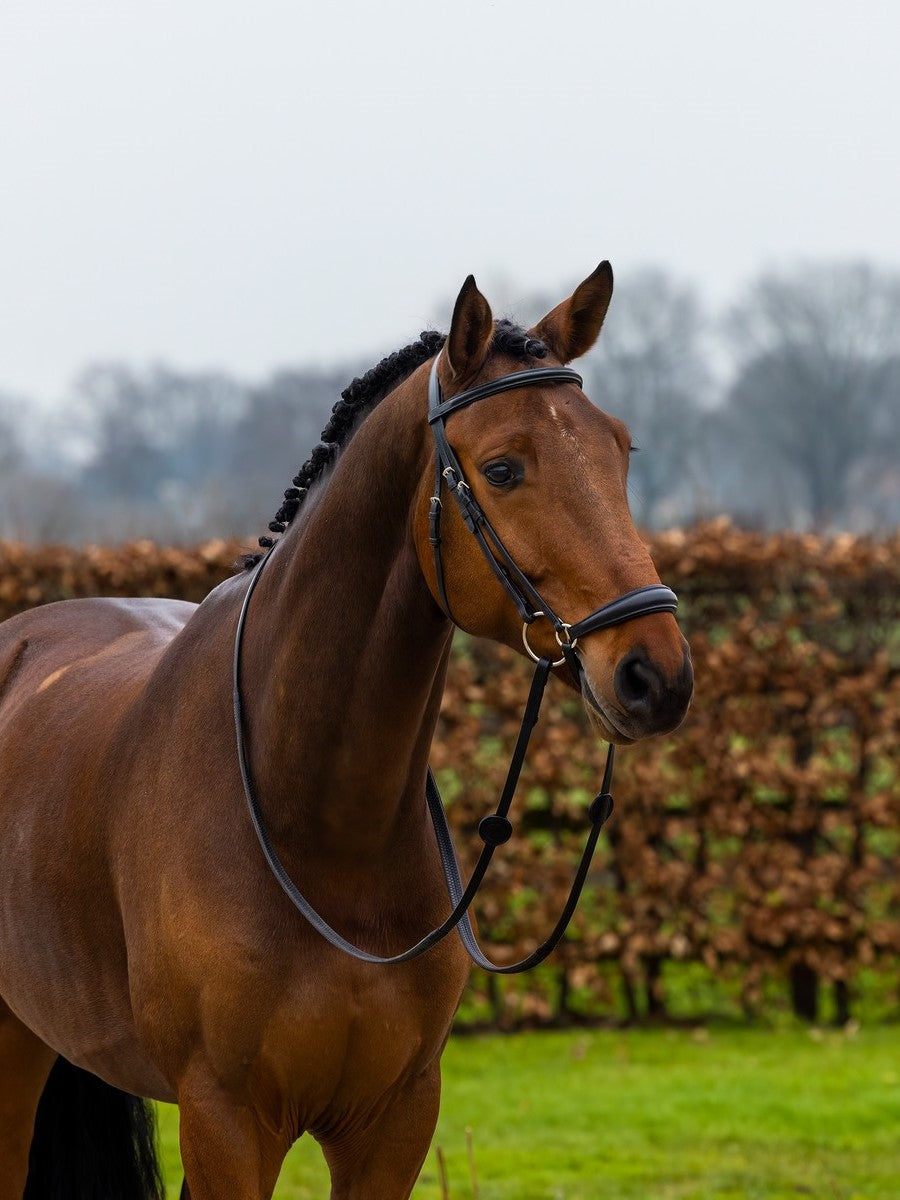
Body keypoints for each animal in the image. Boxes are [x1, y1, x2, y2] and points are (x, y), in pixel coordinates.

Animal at [0, 265, 696, 1200]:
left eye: (619, 451)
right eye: (503, 468)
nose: (655, 675)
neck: (321, 833)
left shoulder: (393, 1121)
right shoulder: (226, 1122)